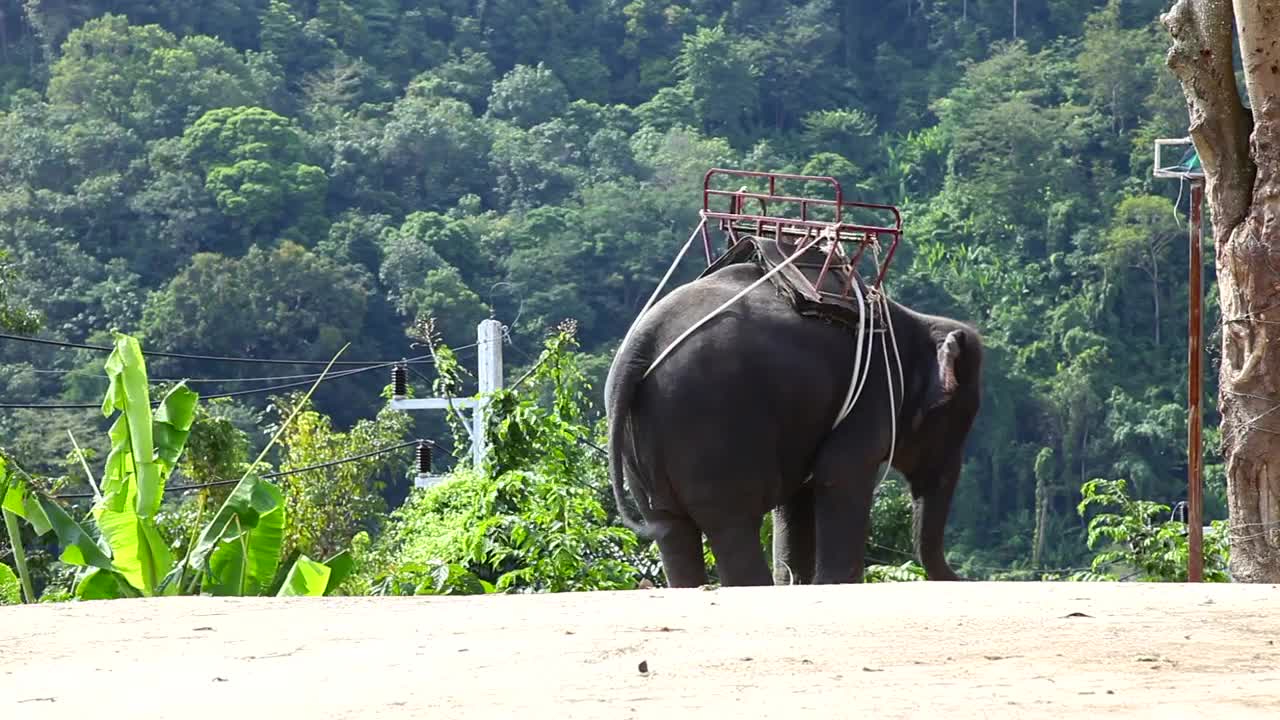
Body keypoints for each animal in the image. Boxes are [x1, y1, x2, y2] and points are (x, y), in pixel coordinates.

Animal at [604, 243, 983, 587]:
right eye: (959, 418)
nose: (966, 578)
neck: (912, 320)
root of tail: (640, 343)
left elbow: (797, 498)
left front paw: (798, 581)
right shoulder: (873, 389)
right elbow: (840, 472)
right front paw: (834, 584)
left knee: (670, 527)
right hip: (711, 427)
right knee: (731, 522)